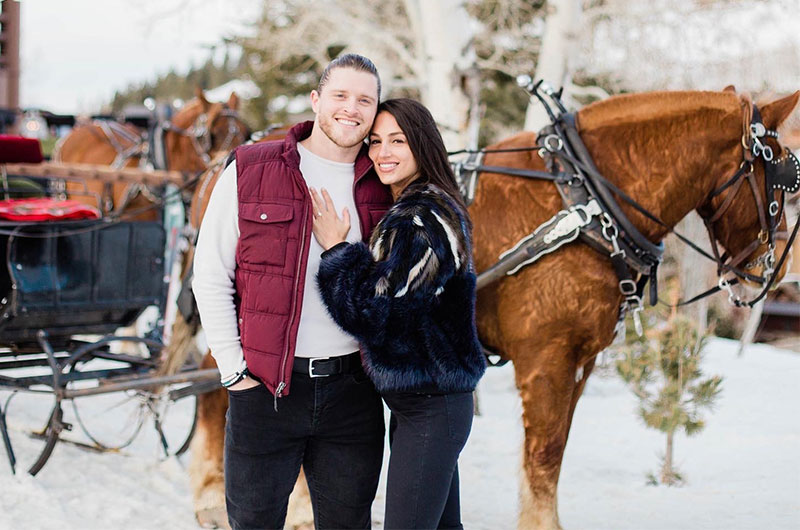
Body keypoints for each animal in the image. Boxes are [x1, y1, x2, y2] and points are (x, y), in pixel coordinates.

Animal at [184, 92, 796, 528]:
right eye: (784, 176)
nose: (768, 270)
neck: (584, 201)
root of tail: (222, 163)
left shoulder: (580, 361)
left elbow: (549, 459)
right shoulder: (546, 358)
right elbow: (543, 459)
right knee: (223, 384)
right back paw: (224, 497)